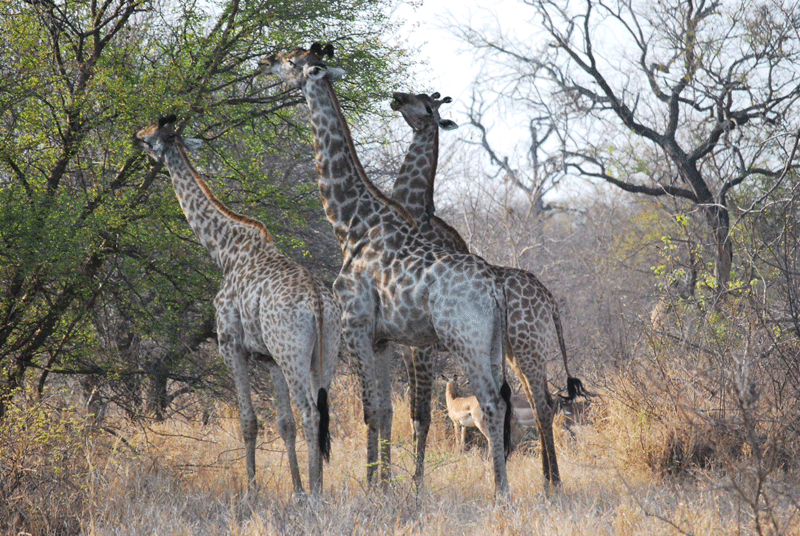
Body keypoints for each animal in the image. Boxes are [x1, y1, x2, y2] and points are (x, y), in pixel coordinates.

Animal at [133, 115, 341, 498]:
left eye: (152, 134)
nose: (135, 137)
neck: (224, 251)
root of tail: (320, 303)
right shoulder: (268, 357)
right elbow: (283, 423)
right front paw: (295, 491)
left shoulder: (231, 346)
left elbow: (249, 421)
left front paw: (252, 491)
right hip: (325, 353)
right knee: (319, 412)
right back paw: (315, 489)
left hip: (292, 353)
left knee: (311, 413)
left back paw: (318, 494)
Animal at [261, 44, 514, 498]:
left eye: (293, 61)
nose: (265, 59)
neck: (352, 222)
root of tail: (495, 290)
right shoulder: (381, 339)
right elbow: (383, 411)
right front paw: (383, 484)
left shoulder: (356, 325)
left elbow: (373, 411)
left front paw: (374, 488)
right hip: (490, 344)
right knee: (502, 401)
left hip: (463, 341)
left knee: (490, 402)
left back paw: (501, 492)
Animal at [390, 91, 587, 489]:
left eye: (426, 104)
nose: (395, 97)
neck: (416, 219)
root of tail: (550, 300)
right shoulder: (405, 347)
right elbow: (409, 414)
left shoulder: (423, 348)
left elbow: (423, 416)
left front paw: (416, 484)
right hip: (515, 351)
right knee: (540, 400)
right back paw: (546, 479)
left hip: (526, 347)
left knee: (545, 403)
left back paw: (552, 483)